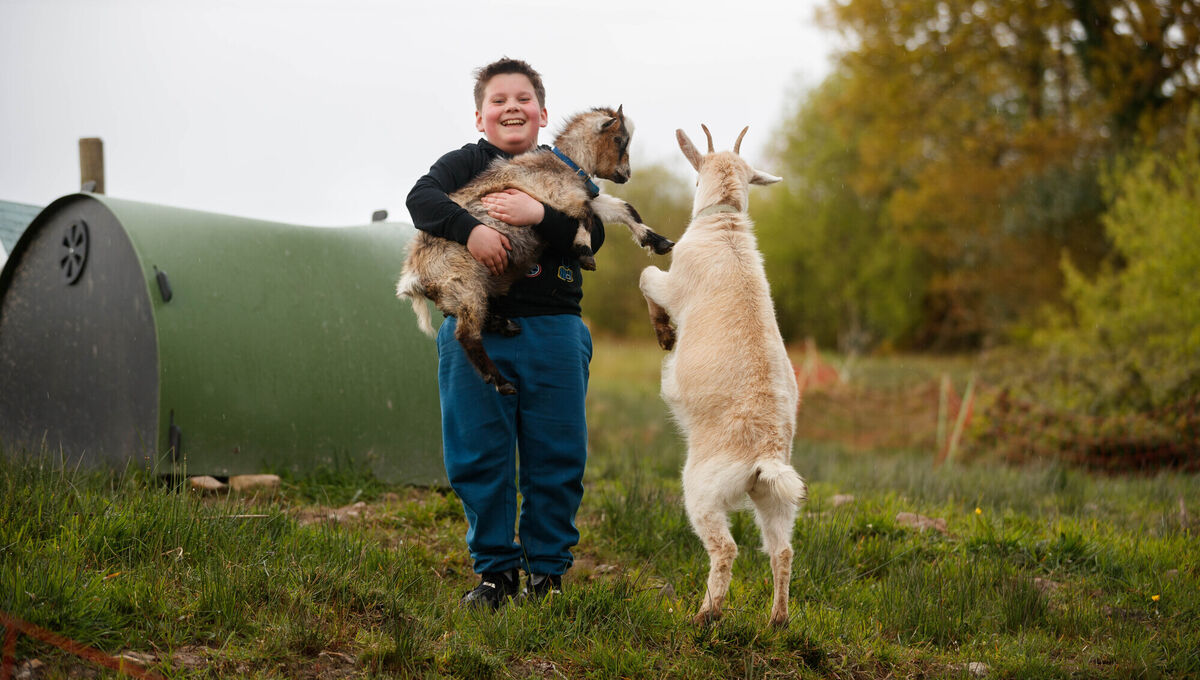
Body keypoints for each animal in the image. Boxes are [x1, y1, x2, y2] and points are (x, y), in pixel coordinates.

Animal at [397, 106, 674, 395]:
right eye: (620, 139)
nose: (626, 174)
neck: (566, 165)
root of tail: (413, 276)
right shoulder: (562, 197)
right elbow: (586, 216)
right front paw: (585, 252)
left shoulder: (580, 197)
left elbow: (624, 209)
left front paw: (658, 242)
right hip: (464, 284)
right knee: (466, 336)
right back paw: (502, 381)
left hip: (464, 291)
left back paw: (504, 325)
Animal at [638, 125, 804, 627]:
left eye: (695, 178)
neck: (725, 225)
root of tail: (765, 454)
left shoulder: (672, 282)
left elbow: (646, 275)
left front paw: (665, 334)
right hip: (777, 499)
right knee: (782, 551)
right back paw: (777, 621)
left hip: (702, 491)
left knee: (726, 549)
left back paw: (705, 615)